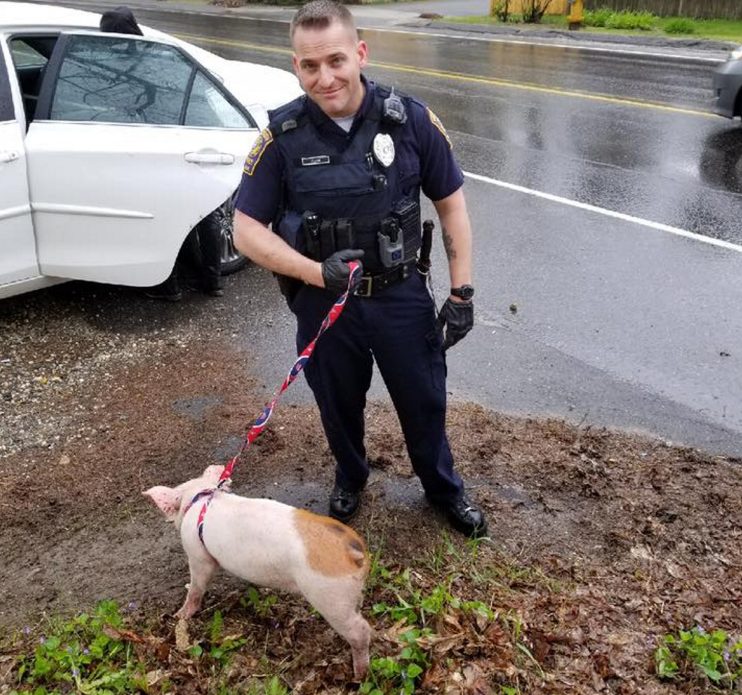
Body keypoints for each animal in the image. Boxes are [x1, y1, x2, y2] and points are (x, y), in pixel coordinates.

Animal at [143, 464, 372, 676]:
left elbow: (197, 586)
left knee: (362, 630)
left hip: (330, 596)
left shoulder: (198, 556)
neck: (201, 498)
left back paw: (359, 674)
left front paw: (179, 615)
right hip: (349, 592)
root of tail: (353, 547)